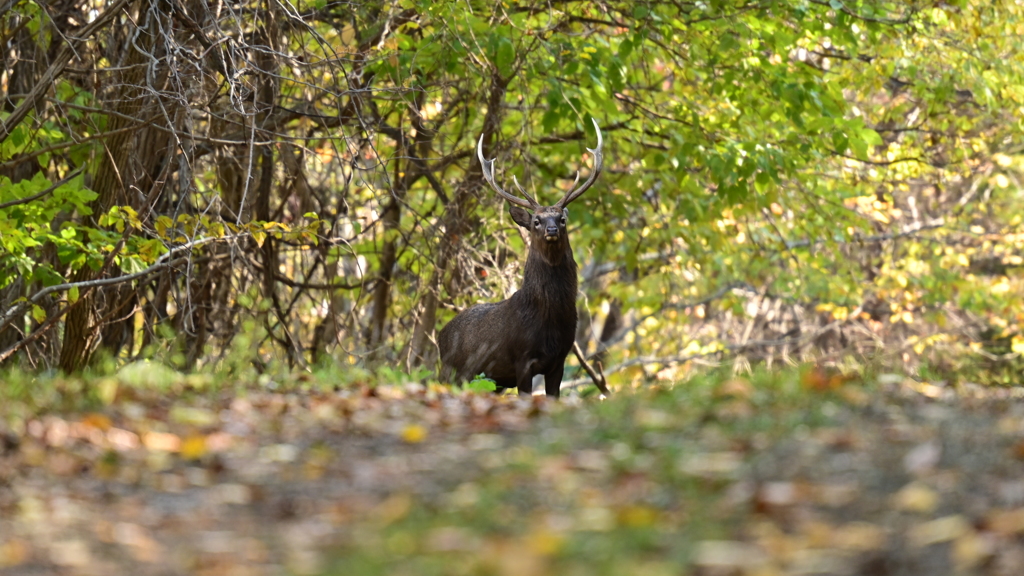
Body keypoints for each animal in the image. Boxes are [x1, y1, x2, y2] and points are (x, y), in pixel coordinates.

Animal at [436, 116, 602, 393]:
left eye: (562, 218)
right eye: (536, 221)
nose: (551, 229)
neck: (548, 320)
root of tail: (440, 336)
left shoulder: (559, 361)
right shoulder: (522, 360)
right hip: (451, 373)